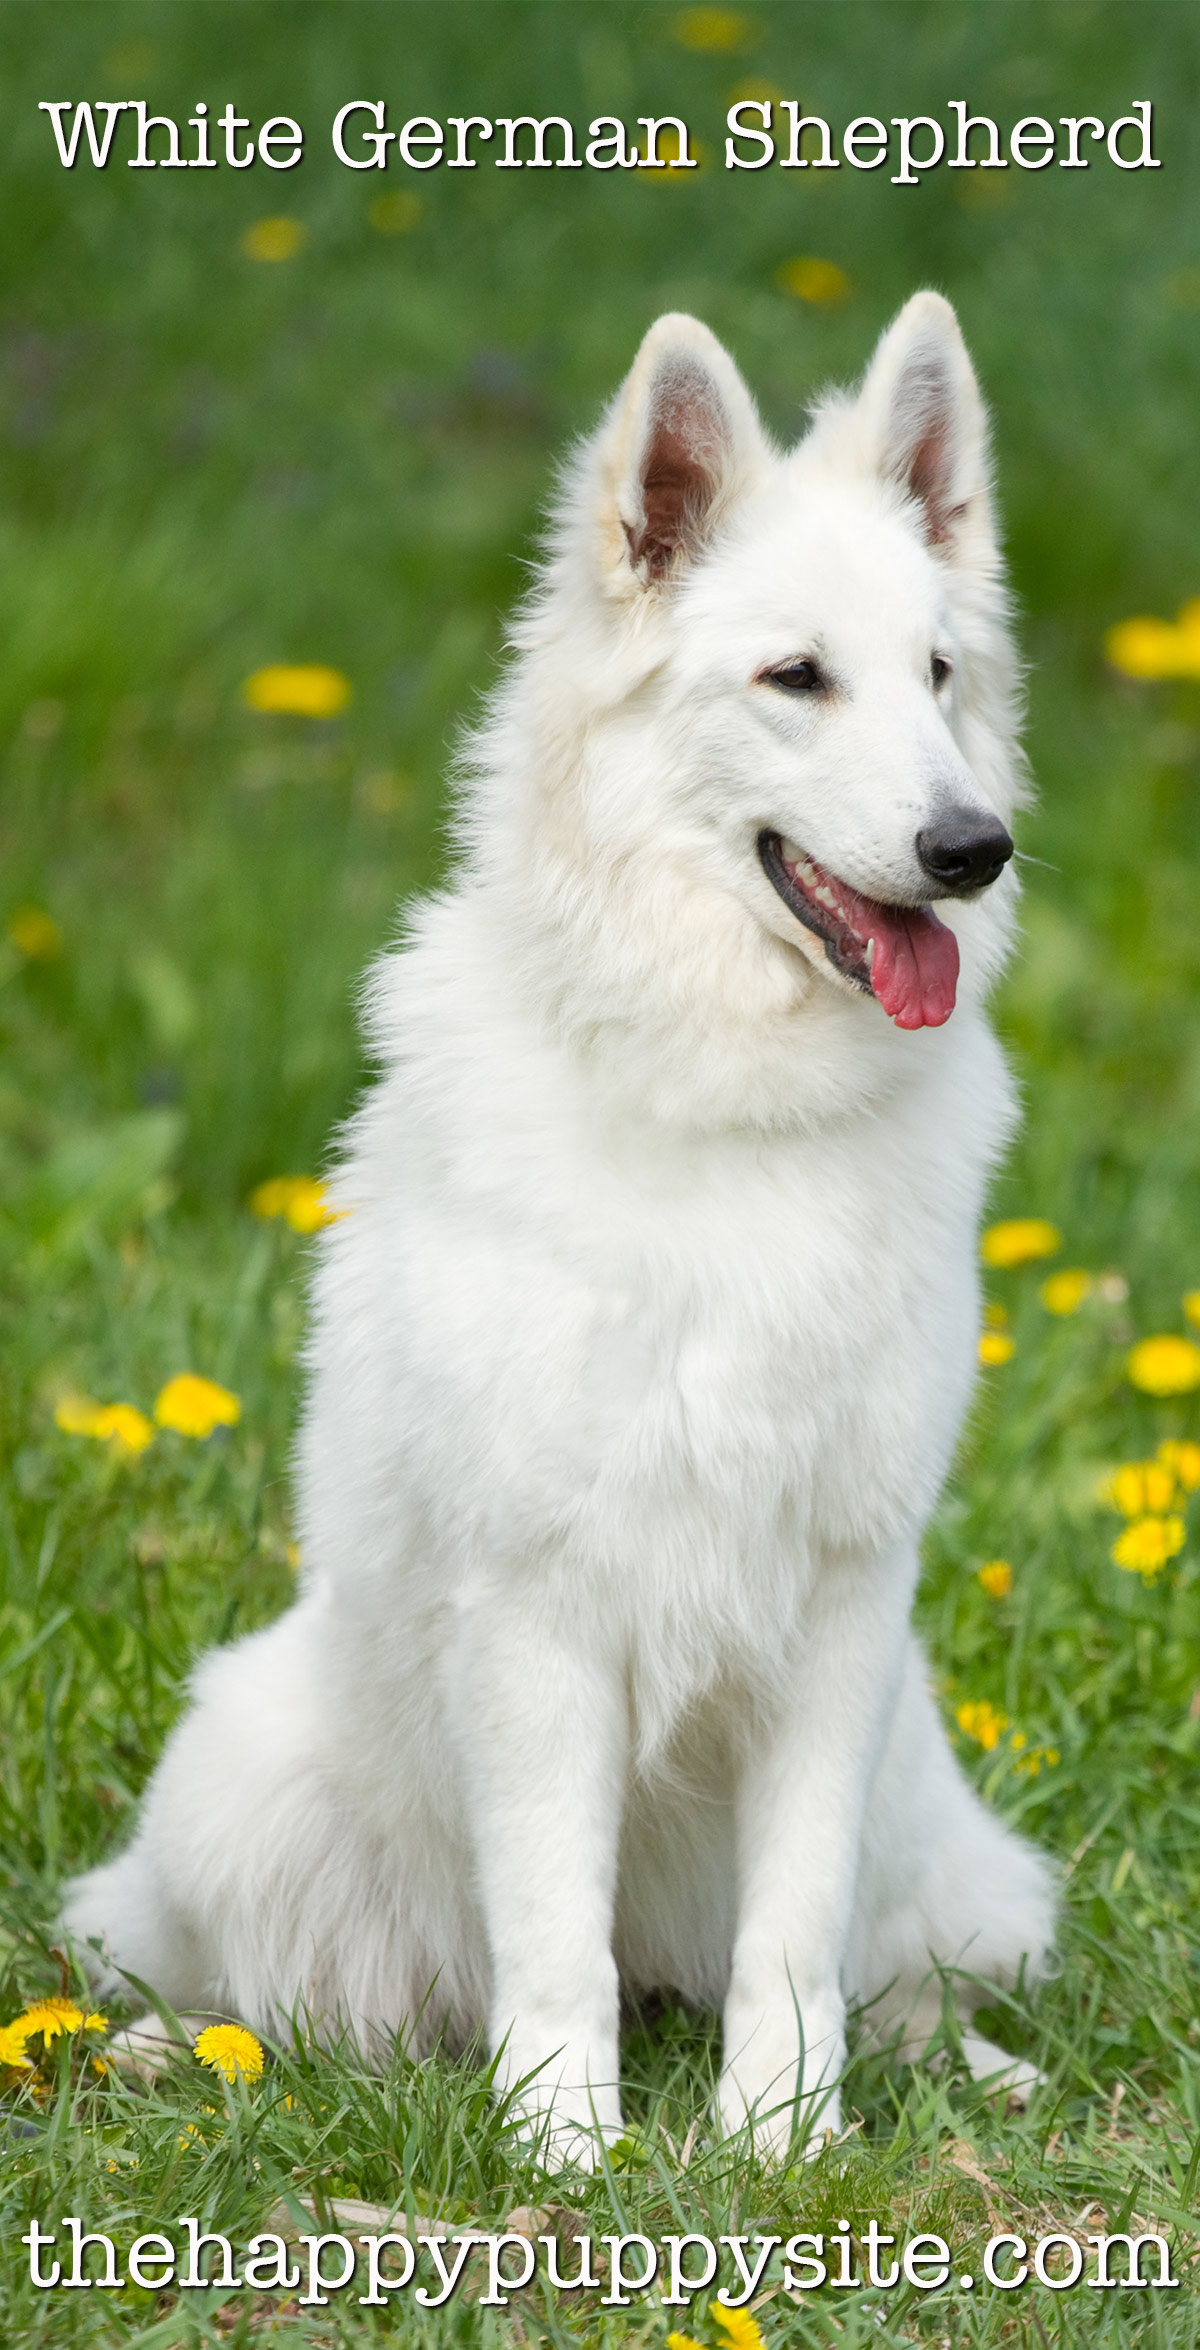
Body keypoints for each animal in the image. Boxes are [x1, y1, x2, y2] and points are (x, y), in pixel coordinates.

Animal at [70, 293, 1056, 2162]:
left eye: (939, 676)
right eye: (796, 678)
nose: (974, 847)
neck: (731, 1104)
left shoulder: (840, 1612)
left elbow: (794, 1926)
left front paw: (777, 2141)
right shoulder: (541, 1621)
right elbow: (548, 1929)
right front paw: (566, 2150)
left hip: (919, 1785)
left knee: (894, 1957)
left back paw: (956, 2069)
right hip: (243, 1769)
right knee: (285, 1997)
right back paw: (172, 2053)